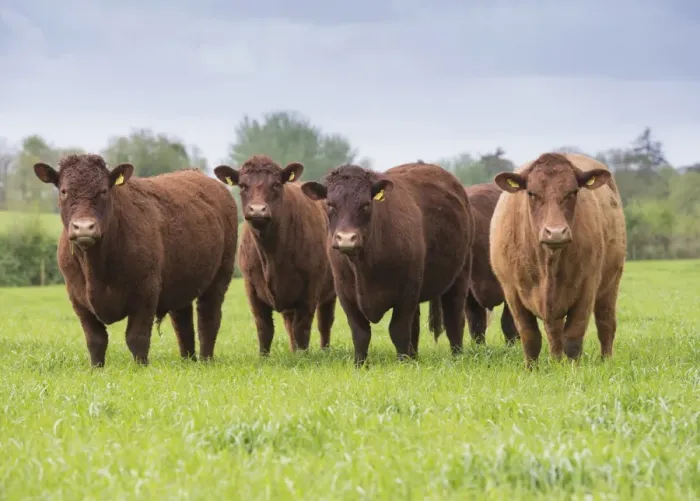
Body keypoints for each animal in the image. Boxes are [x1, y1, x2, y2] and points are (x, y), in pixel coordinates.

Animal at [33, 153, 239, 367]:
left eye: (103, 190)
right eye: (64, 191)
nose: (83, 227)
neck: (96, 268)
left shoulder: (146, 292)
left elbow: (136, 338)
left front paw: (141, 368)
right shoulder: (77, 298)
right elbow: (95, 340)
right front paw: (96, 369)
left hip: (221, 274)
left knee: (208, 317)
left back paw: (206, 360)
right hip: (183, 280)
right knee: (183, 322)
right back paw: (187, 361)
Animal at [213, 155, 336, 354]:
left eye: (276, 184)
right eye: (243, 185)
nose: (257, 210)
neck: (271, 255)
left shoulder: (311, 286)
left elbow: (302, 327)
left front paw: (304, 356)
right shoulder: (251, 287)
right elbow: (264, 327)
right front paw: (263, 356)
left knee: (324, 323)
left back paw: (323, 351)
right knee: (289, 324)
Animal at [301, 162, 474, 366]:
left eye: (366, 204)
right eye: (329, 204)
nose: (346, 239)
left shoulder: (407, 290)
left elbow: (398, 330)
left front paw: (403, 364)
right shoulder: (345, 293)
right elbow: (360, 333)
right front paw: (360, 364)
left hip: (461, 274)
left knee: (454, 319)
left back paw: (456, 356)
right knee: (415, 327)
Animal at [490, 152, 626, 366]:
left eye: (572, 192)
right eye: (531, 193)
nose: (555, 233)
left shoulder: (587, 287)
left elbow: (573, 336)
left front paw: (573, 369)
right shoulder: (512, 291)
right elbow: (530, 336)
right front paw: (531, 369)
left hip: (611, 283)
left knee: (605, 323)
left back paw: (606, 361)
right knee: (553, 332)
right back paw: (556, 361)